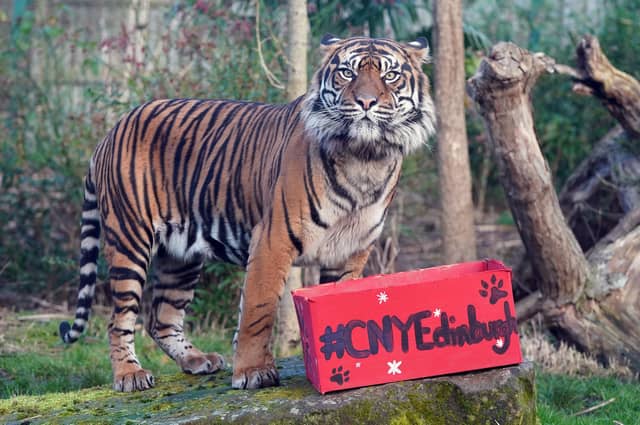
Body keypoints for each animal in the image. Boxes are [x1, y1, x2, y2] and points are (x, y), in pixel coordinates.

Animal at [59, 34, 436, 392]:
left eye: (390, 75)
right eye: (347, 72)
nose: (366, 102)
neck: (365, 158)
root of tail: (112, 130)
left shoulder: (351, 251)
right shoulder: (273, 240)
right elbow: (257, 309)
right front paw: (253, 372)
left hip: (180, 255)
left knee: (161, 318)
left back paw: (197, 360)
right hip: (129, 241)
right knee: (119, 319)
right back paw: (130, 375)